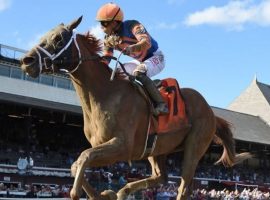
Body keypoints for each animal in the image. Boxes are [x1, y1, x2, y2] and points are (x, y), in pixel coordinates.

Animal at [20, 17, 250, 200]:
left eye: (59, 38)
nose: (26, 61)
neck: (104, 94)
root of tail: (211, 112)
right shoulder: (106, 147)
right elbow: (76, 164)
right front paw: (104, 194)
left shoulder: (122, 147)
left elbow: (84, 157)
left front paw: (82, 192)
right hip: (158, 147)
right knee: (161, 177)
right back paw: (124, 190)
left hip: (195, 146)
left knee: (183, 187)